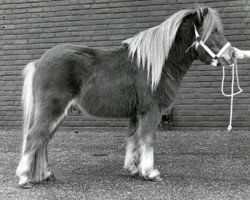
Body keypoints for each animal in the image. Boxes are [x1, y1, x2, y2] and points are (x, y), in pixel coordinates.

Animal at [16, 6, 233, 188]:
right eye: (214, 31)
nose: (230, 57)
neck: (153, 66)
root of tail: (39, 62)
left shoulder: (136, 113)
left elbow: (133, 138)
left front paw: (133, 169)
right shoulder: (152, 110)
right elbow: (147, 139)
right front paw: (150, 172)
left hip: (57, 114)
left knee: (43, 139)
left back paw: (45, 174)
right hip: (52, 110)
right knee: (34, 136)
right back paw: (24, 177)